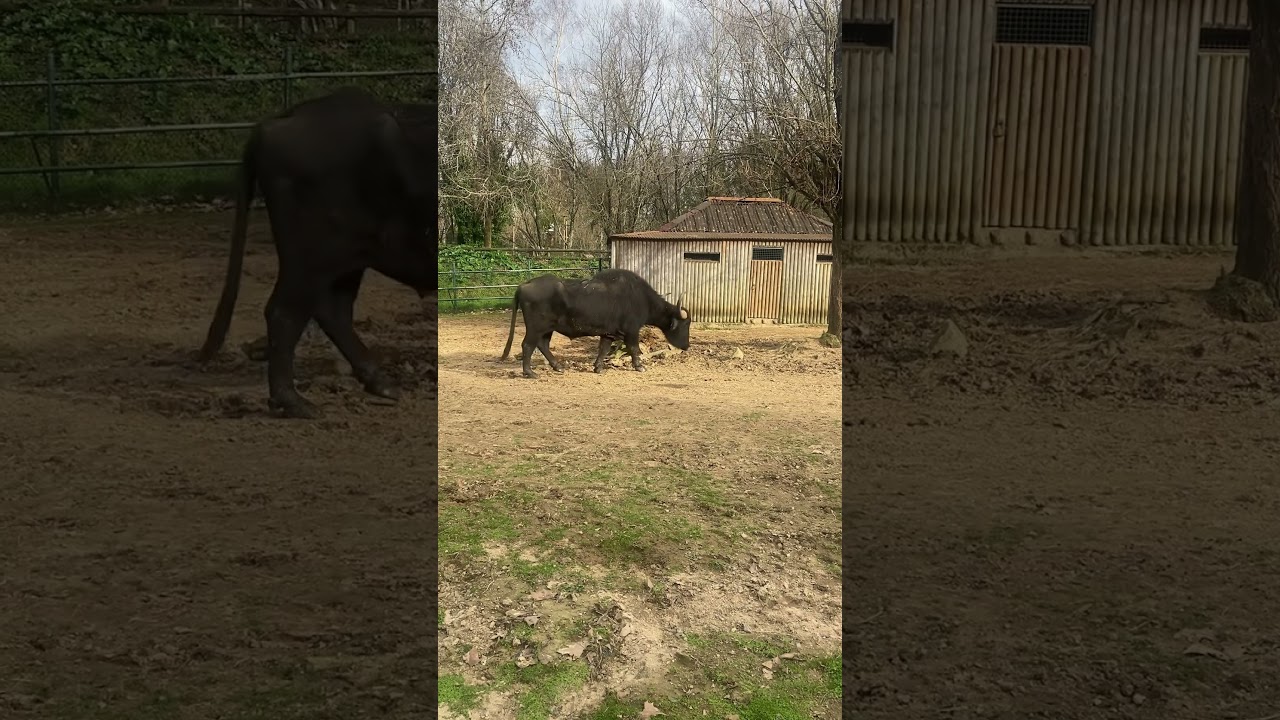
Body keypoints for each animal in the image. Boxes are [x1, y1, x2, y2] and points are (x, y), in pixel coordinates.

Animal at [197, 87, 437, 419]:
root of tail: (277, 122)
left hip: (349, 260)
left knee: (332, 311)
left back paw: (381, 383)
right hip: (312, 259)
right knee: (284, 312)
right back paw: (293, 402)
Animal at [500, 268, 691, 378]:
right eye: (685, 325)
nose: (687, 345)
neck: (640, 297)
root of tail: (523, 286)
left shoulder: (609, 332)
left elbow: (603, 349)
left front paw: (598, 367)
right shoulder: (631, 330)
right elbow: (634, 348)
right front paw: (639, 366)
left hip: (547, 329)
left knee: (542, 345)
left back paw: (558, 367)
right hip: (536, 328)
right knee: (527, 345)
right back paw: (529, 372)